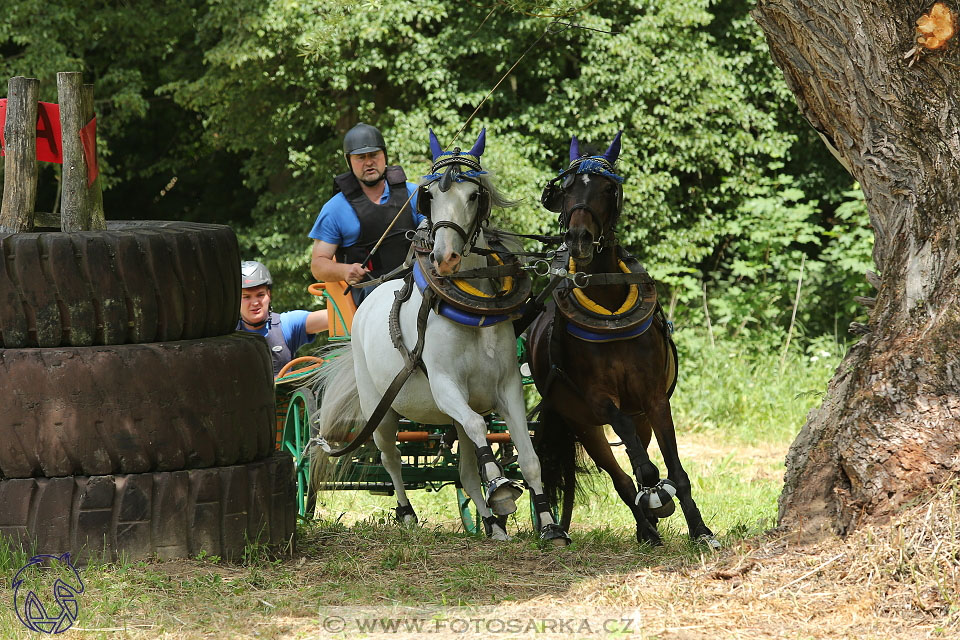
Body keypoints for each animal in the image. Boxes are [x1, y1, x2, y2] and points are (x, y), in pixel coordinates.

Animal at [314, 130, 568, 544]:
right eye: (429, 195)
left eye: (474, 194)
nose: (445, 256)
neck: (472, 315)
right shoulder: (446, 387)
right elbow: (480, 431)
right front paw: (501, 486)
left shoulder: (507, 388)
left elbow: (529, 459)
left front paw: (549, 526)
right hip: (380, 410)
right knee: (391, 458)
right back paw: (407, 515)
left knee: (464, 471)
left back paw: (493, 526)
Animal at [528, 132, 716, 548]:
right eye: (565, 189)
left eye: (607, 189)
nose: (579, 239)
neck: (609, 307)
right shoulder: (598, 400)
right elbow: (629, 445)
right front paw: (653, 487)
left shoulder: (654, 398)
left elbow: (676, 470)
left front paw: (700, 530)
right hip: (581, 423)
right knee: (622, 478)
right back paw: (646, 525)